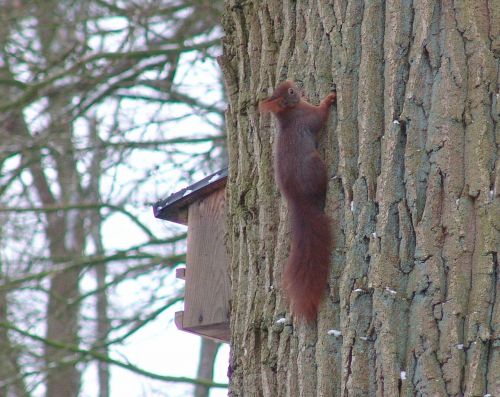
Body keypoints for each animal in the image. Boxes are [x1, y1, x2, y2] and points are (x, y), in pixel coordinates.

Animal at [258, 81, 336, 322]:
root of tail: (297, 200)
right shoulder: (309, 117)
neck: (290, 114)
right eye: (290, 92)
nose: (294, 83)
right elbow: (320, 115)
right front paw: (329, 99)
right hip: (315, 165)